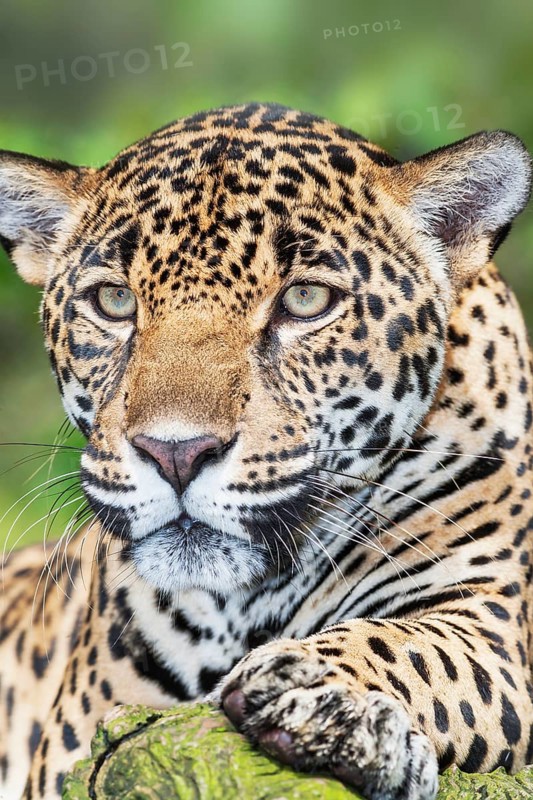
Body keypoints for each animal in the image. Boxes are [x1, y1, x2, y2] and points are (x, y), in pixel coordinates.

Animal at [0, 102, 532, 800]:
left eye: (306, 300)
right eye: (113, 301)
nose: (176, 453)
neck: (244, 607)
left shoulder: (493, 613)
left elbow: (417, 647)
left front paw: (324, 697)